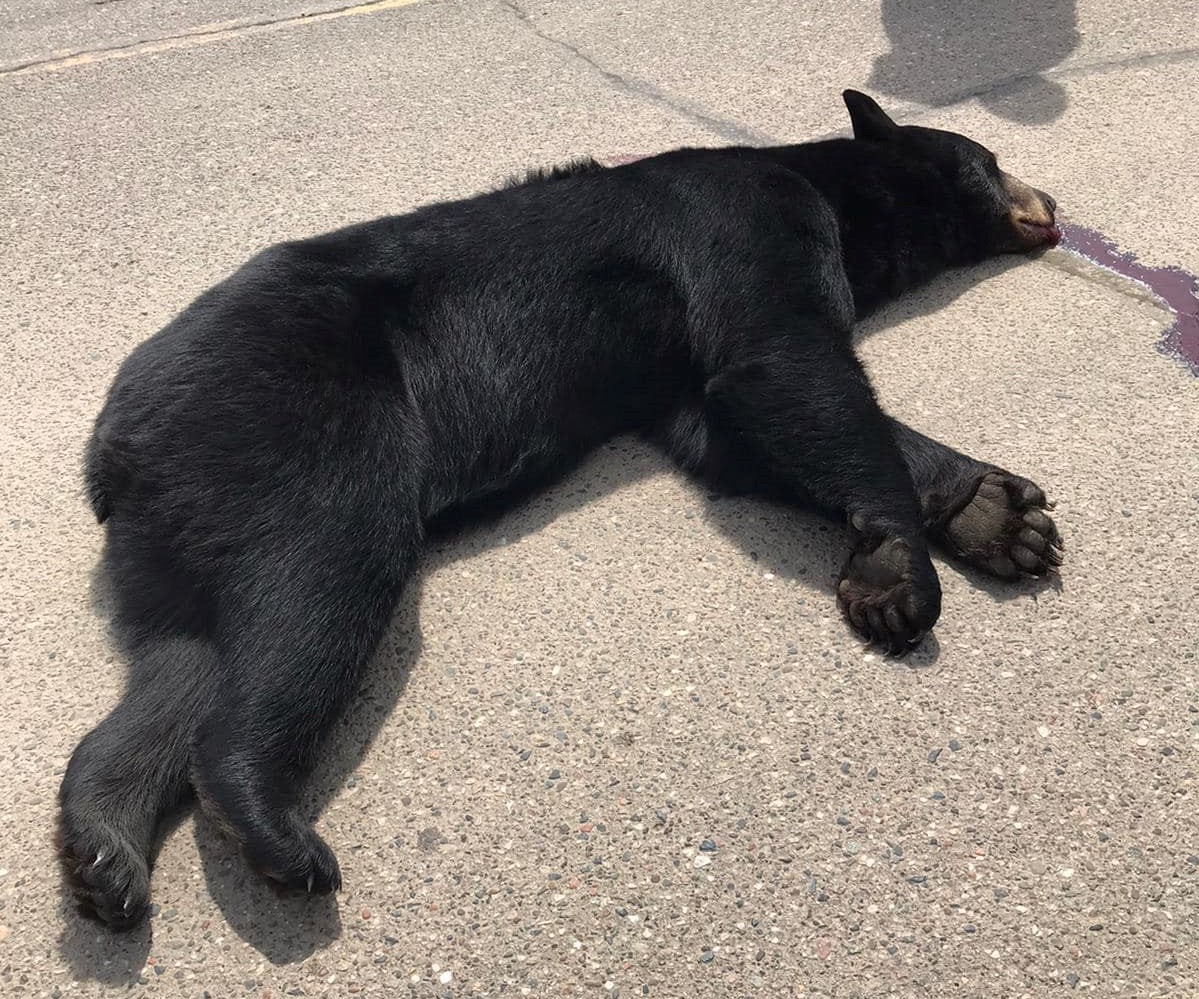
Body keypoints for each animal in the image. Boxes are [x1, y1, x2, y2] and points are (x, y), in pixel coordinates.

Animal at [60, 90, 1063, 928]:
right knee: (318, 584)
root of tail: (112, 443)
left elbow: (734, 425)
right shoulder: (745, 219)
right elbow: (776, 357)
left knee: (187, 660)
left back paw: (103, 847)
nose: (1052, 199)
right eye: (992, 157)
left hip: (189, 511)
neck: (836, 196)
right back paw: (269, 823)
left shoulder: (671, 385)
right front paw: (900, 572)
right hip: (288, 420)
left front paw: (995, 513)